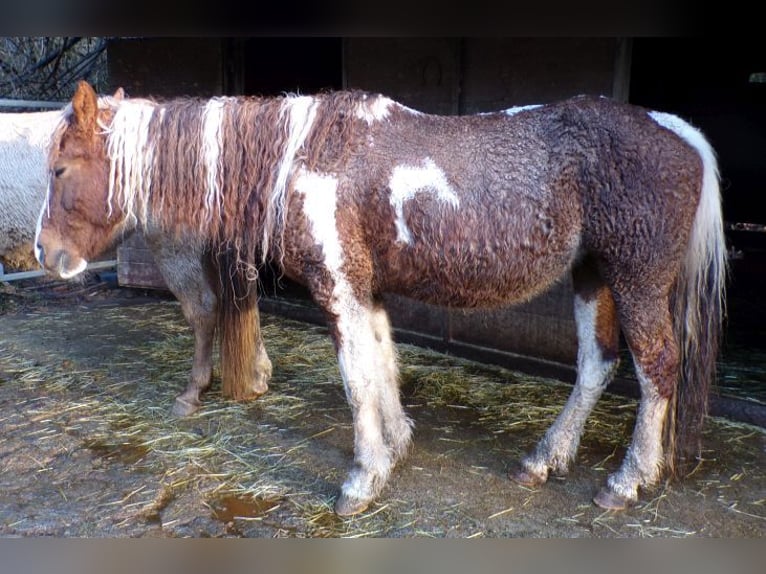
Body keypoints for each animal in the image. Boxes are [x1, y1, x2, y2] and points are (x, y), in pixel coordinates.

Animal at [36, 80, 726, 516]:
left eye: (60, 169)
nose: (45, 254)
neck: (298, 156)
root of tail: (679, 133)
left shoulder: (339, 290)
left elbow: (355, 378)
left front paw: (361, 480)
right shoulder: (364, 292)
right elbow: (382, 365)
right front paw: (394, 446)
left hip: (637, 281)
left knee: (656, 367)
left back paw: (626, 481)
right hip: (592, 276)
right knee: (596, 365)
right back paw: (544, 459)